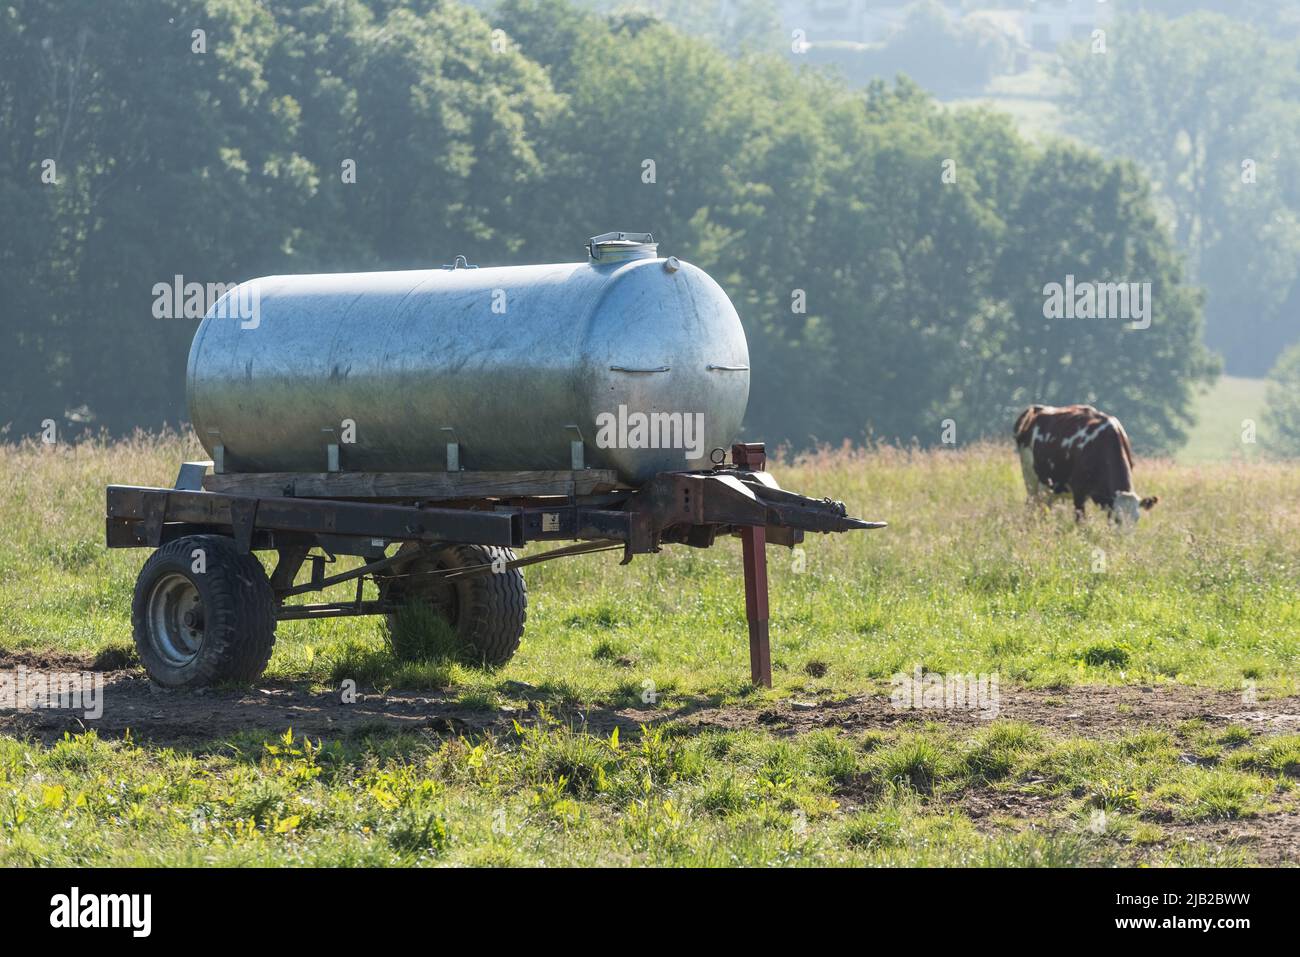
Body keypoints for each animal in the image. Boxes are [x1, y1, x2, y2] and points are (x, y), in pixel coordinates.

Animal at [1013, 403, 1159, 522]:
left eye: (1136, 519)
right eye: (1117, 519)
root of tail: (1035, 409)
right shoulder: (1079, 492)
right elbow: (1081, 522)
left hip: (1049, 488)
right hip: (1031, 480)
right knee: (1030, 507)